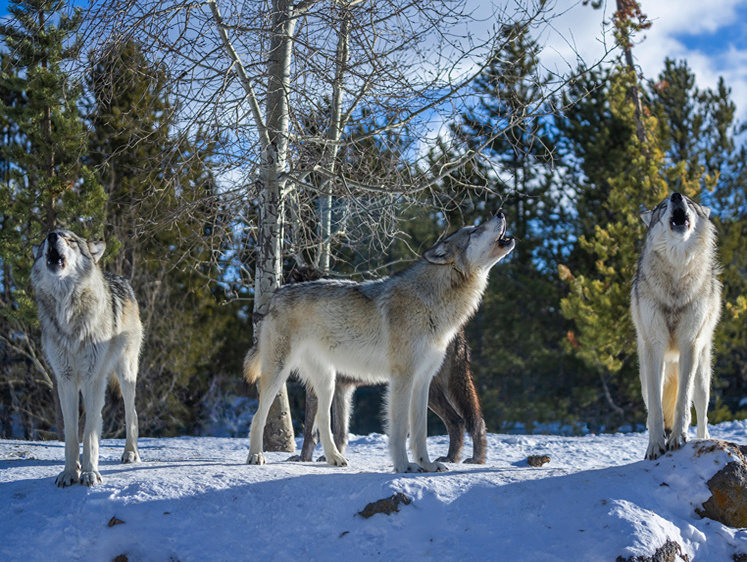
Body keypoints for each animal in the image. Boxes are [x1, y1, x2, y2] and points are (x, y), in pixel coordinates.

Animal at [30, 229, 142, 486]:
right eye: (45, 238)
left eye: (70, 239)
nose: (52, 235)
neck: (68, 312)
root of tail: (121, 279)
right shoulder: (66, 380)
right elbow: (73, 435)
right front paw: (70, 473)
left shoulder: (93, 379)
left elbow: (89, 434)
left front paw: (90, 473)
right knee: (95, 420)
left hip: (125, 373)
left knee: (131, 413)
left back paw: (130, 453)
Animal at [290, 326, 488, 462]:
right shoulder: (341, 387)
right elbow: (339, 430)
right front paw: (335, 457)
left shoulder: (319, 385)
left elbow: (309, 430)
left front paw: (304, 459)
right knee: (463, 420)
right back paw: (460, 459)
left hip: (432, 389)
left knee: (463, 420)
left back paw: (464, 459)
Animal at [636, 192, 720, 460]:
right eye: (663, 206)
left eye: (690, 202)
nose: (676, 196)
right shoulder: (654, 347)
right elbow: (656, 408)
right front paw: (655, 445)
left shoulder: (689, 344)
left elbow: (683, 402)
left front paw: (678, 438)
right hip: (645, 376)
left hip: (702, 376)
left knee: (702, 415)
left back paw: (703, 440)